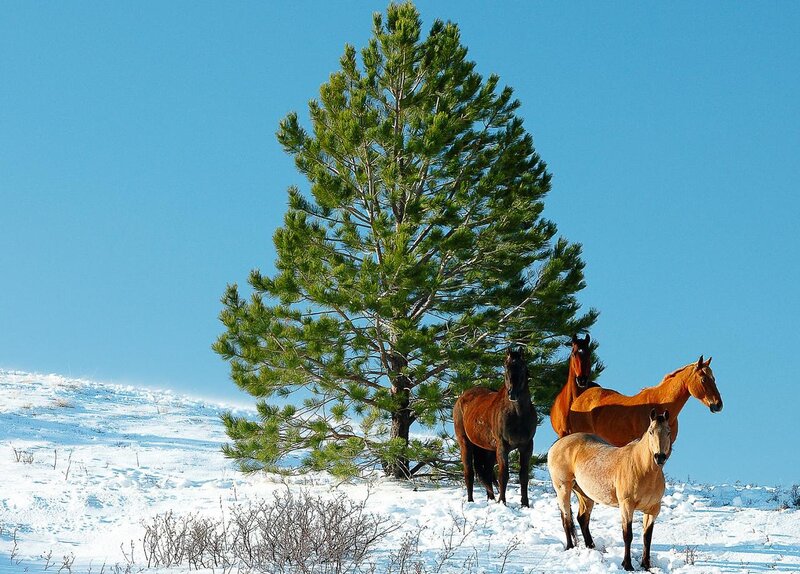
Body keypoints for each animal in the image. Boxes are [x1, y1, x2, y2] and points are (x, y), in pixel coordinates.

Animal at [453, 347, 538, 506]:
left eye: (522, 367)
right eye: (505, 367)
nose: (513, 394)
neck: (517, 414)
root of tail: (462, 397)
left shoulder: (526, 446)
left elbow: (523, 476)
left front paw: (525, 504)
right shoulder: (502, 446)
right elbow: (503, 475)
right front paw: (502, 502)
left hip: (488, 449)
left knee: (486, 473)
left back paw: (491, 499)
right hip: (465, 443)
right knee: (469, 473)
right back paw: (471, 501)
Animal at [547, 409, 672, 571]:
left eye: (668, 432)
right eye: (651, 431)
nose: (660, 457)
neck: (642, 469)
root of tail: (557, 444)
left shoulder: (653, 509)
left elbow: (647, 537)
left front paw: (646, 565)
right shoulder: (626, 506)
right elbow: (628, 535)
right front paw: (627, 565)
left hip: (585, 494)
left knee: (582, 518)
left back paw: (591, 547)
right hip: (563, 488)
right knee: (566, 519)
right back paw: (570, 547)